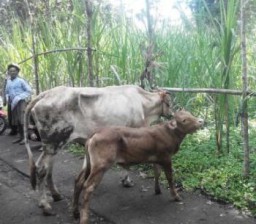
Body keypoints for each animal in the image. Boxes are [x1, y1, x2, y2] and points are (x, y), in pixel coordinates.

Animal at [24, 84, 172, 215]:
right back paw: (45, 205)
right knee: (41, 169)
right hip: (54, 142)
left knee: (46, 168)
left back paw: (55, 195)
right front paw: (128, 181)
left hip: (52, 145)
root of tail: (45, 94)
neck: (143, 104)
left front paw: (125, 180)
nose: (172, 114)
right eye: (170, 103)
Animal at [73, 109, 203, 223]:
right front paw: (176, 196)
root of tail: (96, 132)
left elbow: (157, 173)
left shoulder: (157, 158)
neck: (170, 133)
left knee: (79, 181)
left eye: (190, 114)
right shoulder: (166, 158)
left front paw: (157, 190)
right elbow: (170, 178)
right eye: (184, 120)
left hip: (88, 163)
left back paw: (76, 213)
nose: (201, 121)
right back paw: (84, 219)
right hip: (101, 165)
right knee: (88, 186)